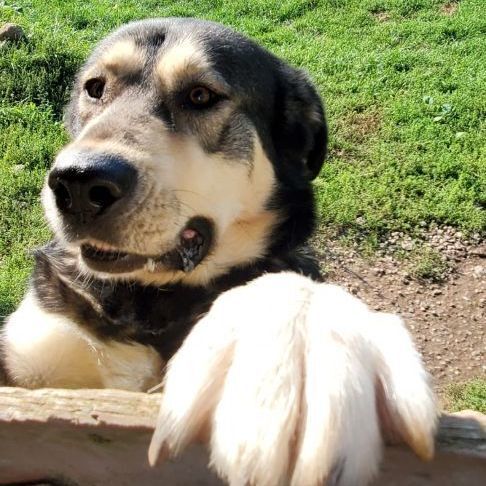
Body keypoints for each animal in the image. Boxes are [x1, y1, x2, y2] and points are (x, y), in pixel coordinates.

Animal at [0, 19, 436, 486]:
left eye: (200, 95)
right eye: (95, 88)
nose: (77, 183)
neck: (151, 301)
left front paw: (295, 344)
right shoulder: (31, 357)